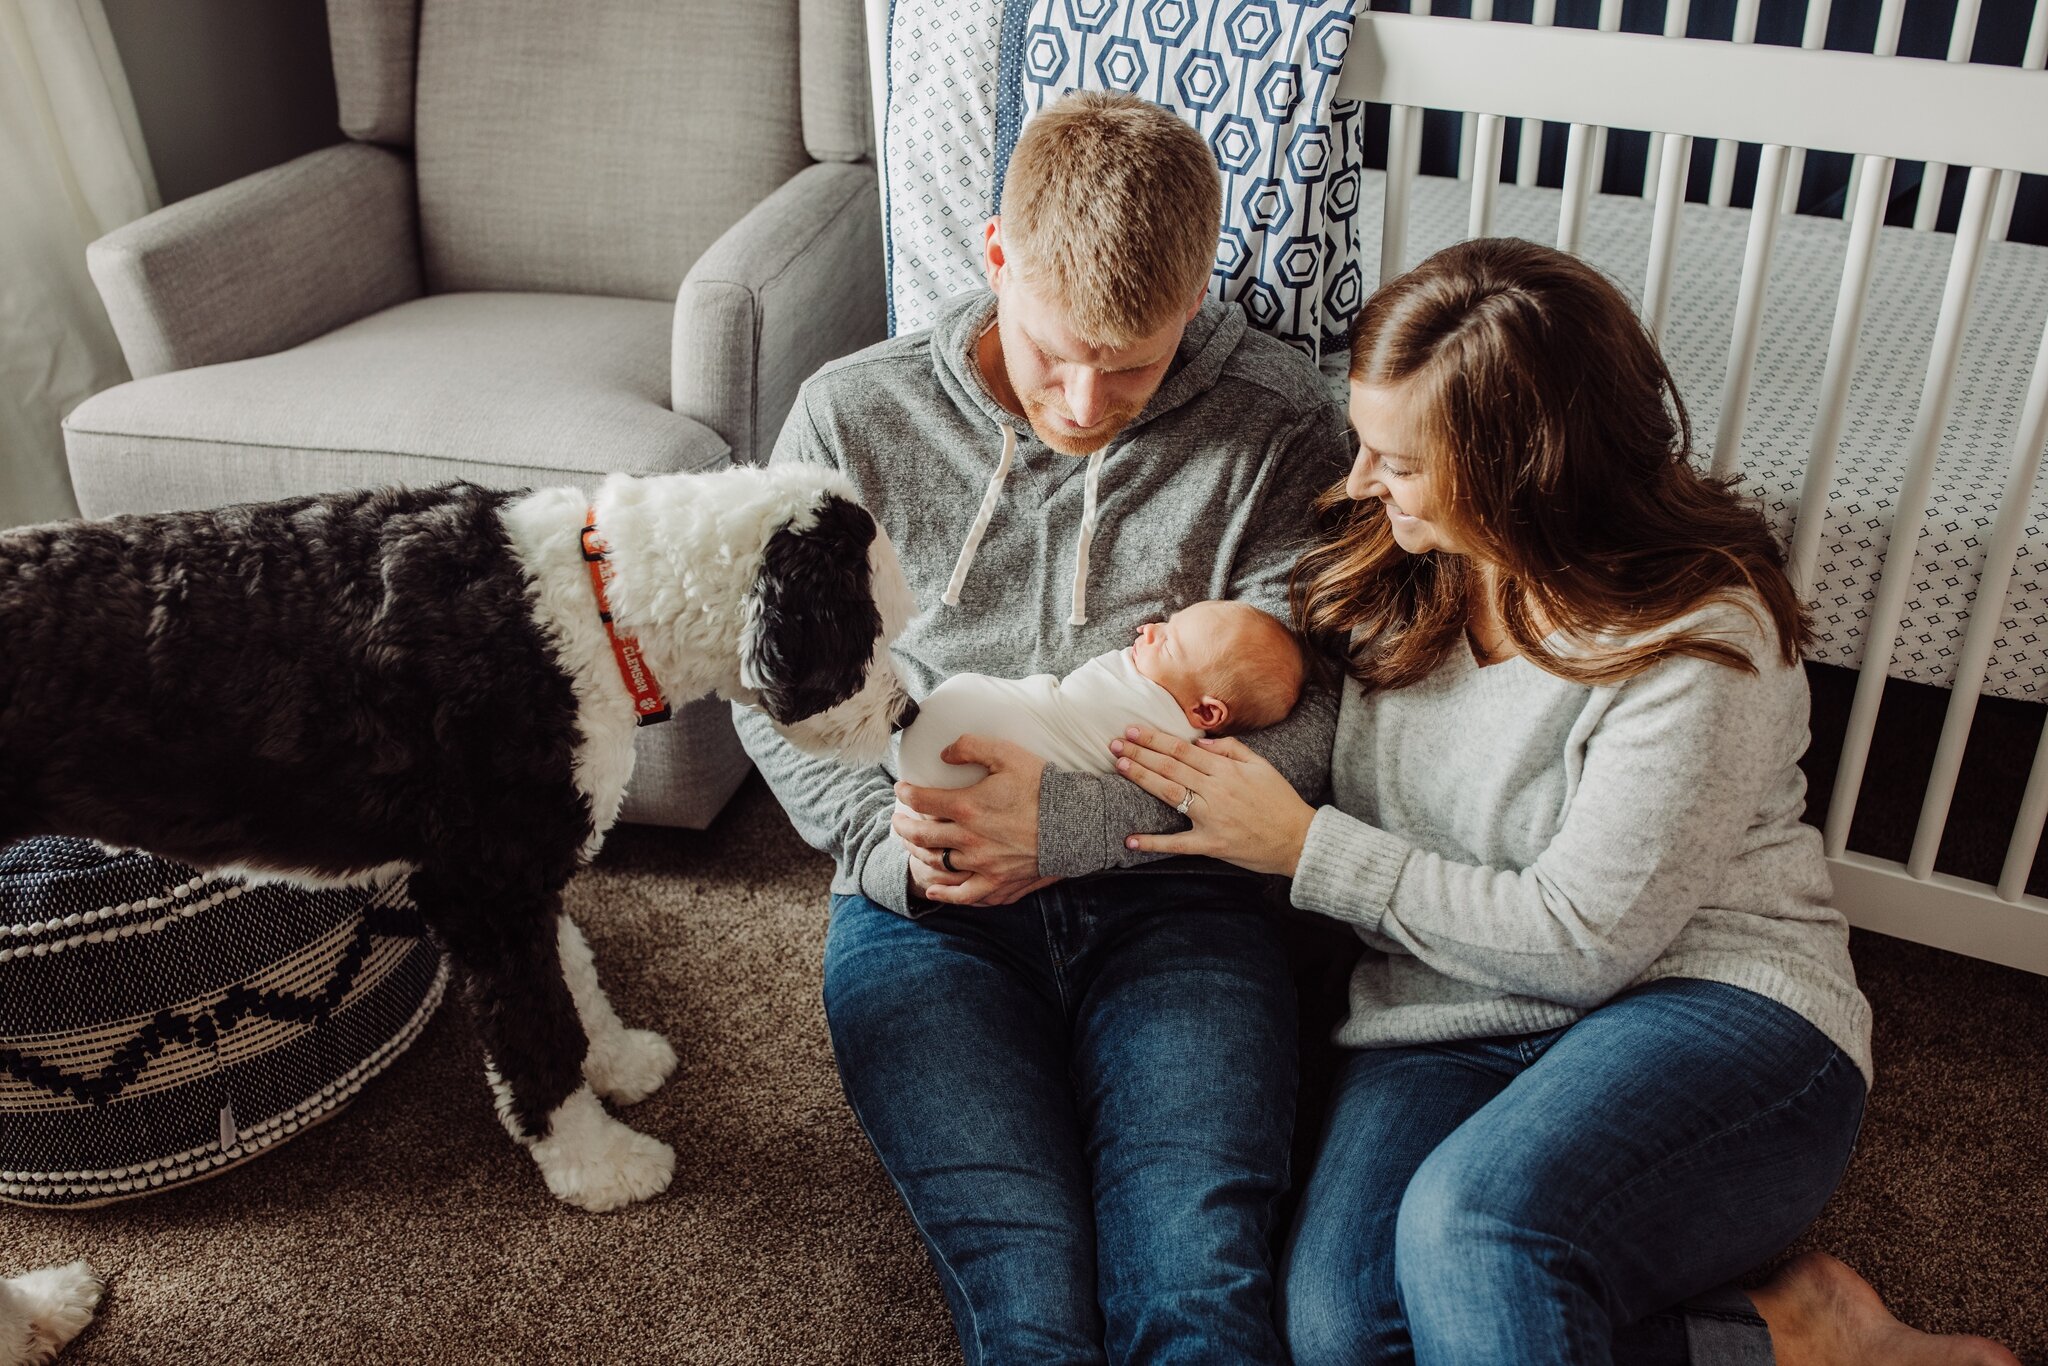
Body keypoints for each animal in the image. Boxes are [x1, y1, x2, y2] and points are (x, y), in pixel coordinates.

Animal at [0, 466, 913, 1204]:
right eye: (869, 634)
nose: (906, 713)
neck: (596, 601)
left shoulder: (526, 869)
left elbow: (575, 975)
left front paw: (616, 1061)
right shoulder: (485, 887)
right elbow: (537, 1033)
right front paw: (597, 1164)